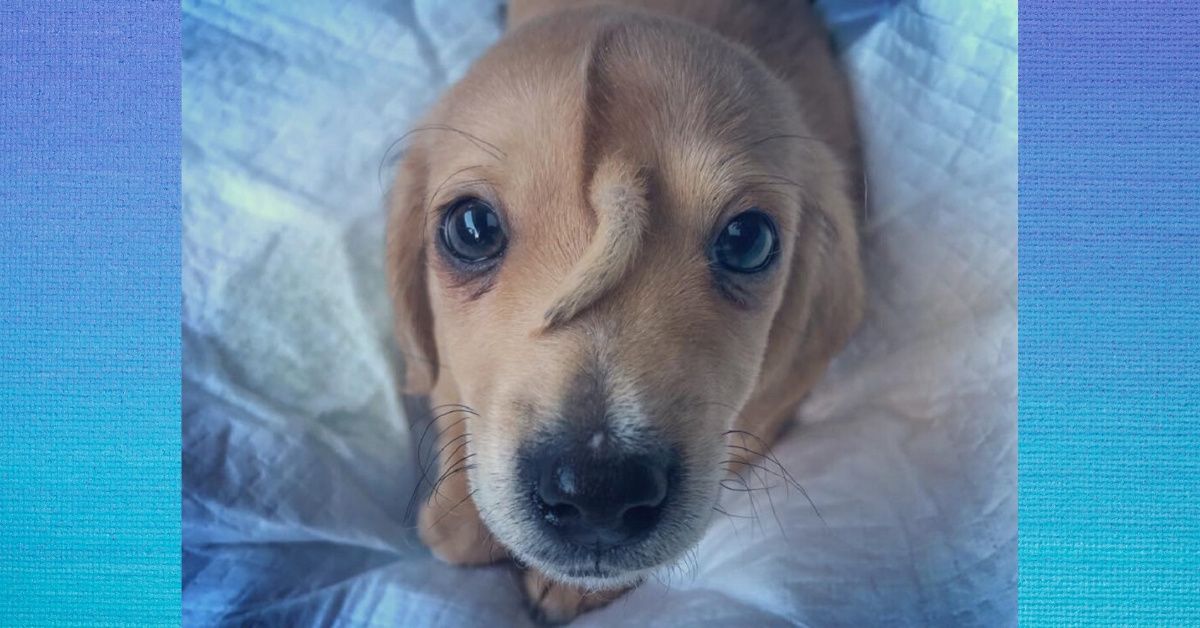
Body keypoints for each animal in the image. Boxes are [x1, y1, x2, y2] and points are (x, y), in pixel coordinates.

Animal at [388, 0, 868, 619]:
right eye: (472, 228)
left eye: (748, 240)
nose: (599, 492)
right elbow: (453, 405)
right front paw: (458, 518)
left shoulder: (756, 417)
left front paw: (570, 587)